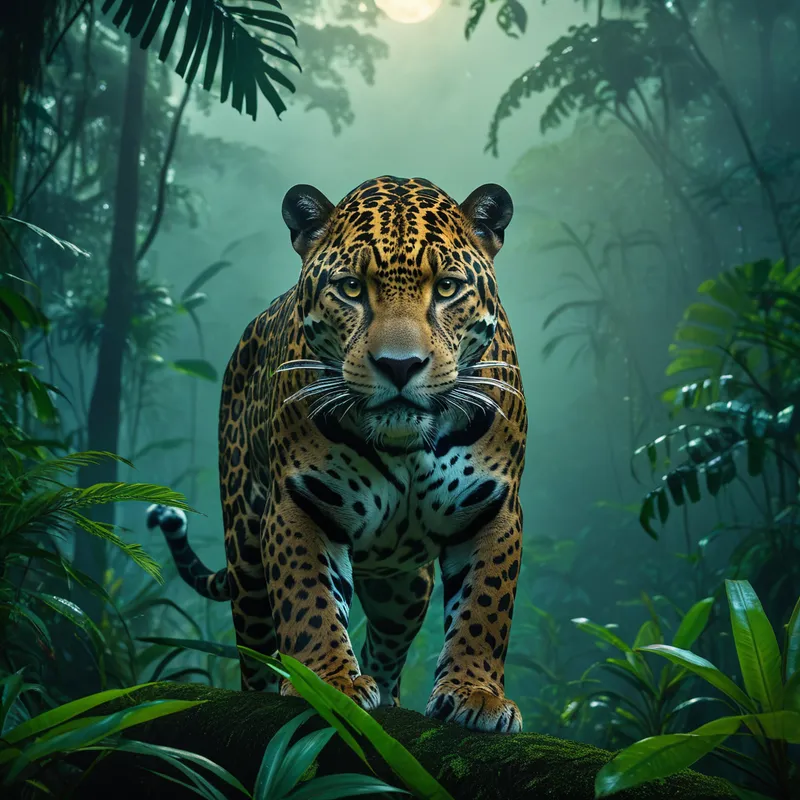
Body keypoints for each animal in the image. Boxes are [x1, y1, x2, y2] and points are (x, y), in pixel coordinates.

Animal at [147, 175, 527, 733]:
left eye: (446, 288)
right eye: (351, 289)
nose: (399, 365)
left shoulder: (492, 508)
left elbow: (484, 608)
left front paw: (475, 695)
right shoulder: (302, 504)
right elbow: (310, 602)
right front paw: (328, 685)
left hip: (403, 591)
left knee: (387, 644)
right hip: (246, 558)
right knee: (255, 651)